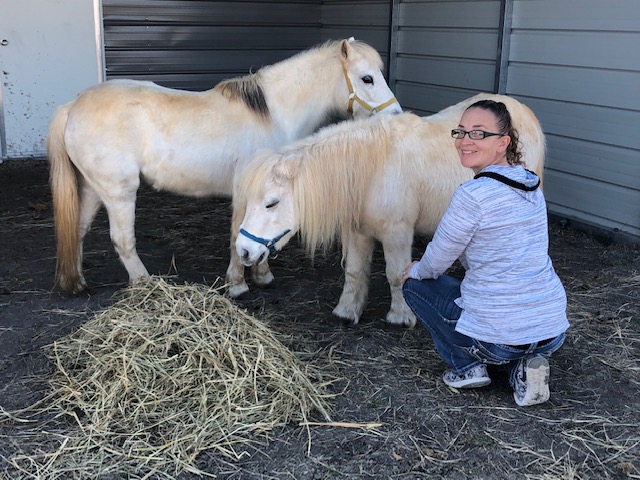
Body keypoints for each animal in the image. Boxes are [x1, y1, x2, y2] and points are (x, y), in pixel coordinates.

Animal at [48, 38, 400, 292]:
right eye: (367, 78)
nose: (396, 116)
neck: (274, 114)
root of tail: (73, 106)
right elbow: (238, 233)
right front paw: (238, 283)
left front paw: (260, 274)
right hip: (119, 192)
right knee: (123, 241)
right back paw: (146, 285)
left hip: (93, 189)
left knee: (77, 230)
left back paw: (76, 283)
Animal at [228, 94, 544, 326]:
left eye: (271, 203)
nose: (244, 251)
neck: (372, 170)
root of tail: (524, 110)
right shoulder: (357, 232)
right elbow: (354, 272)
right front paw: (347, 311)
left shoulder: (397, 234)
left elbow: (395, 274)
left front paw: (401, 317)